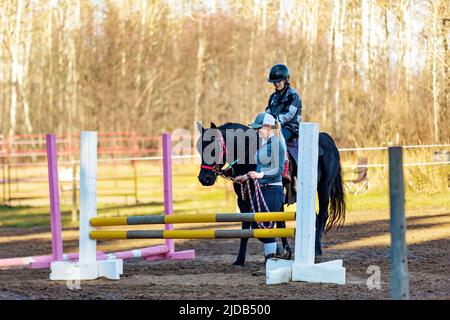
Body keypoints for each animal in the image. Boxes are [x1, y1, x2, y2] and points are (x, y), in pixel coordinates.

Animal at [195, 121, 346, 266]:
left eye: (214, 148)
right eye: (199, 148)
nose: (204, 178)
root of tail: (327, 138)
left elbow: (277, 225)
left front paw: (283, 251)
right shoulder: (243, 201)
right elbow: (247, 229)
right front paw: (240, 260)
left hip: (324, 188)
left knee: (322, 216)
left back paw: (317, 250)